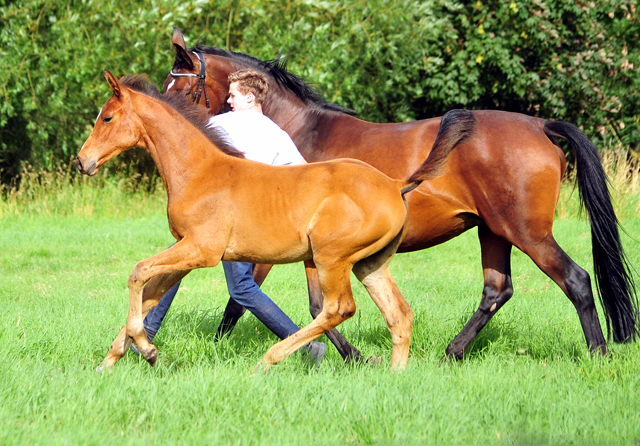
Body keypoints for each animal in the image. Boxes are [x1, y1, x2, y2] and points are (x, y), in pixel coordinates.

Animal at [75, 71, 442, 372]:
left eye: (107, 117)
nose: (81, 161)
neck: (199, 172)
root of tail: (394, 185)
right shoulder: (186, 251)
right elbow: (151, 292)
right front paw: (113, 360)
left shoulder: (202, 250)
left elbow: (138, 273)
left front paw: (145, 350)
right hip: (370, 263)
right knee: (399, 314)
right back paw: (395, 373)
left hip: (332, 258)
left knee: (339, 308)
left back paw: (270, 360)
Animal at [158, 26, 636, 362]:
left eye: (179, 86)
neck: (293, 132)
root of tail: (540, 126)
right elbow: (278, 303)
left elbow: (278, 304)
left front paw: (345, 355)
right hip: (494, 231)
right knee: (496, 290)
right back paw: (451, 353)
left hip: (527, 232)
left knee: (575, 279)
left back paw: (599, 354)